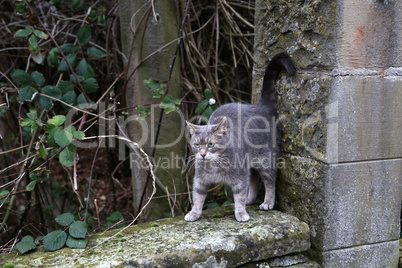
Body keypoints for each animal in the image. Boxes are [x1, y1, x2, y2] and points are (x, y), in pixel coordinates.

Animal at [185, 52, 296, 222]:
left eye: (211, 144)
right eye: (197, 145)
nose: (202, 154)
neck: (216, 164)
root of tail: (262, 106)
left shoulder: (239, 179)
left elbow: (239, 196)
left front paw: (241, 213)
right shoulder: (200, 181)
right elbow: (197, 197)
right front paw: (194, 213)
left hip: (266, 161)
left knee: (270, 181)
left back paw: (267, 202)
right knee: (254, 178)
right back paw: (250, 199)